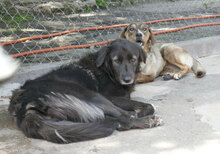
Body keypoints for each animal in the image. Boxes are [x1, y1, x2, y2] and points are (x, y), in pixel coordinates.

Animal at [9, 39, 162, 144]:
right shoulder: (111, 97)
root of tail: (23, 103)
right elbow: (148, 106)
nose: (127, 79)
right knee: (124, 118)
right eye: (116, 61)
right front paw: (140, 112)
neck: (107, 70)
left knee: (114, 120)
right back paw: (146, 120)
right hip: (90, 95)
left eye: (133, 60)